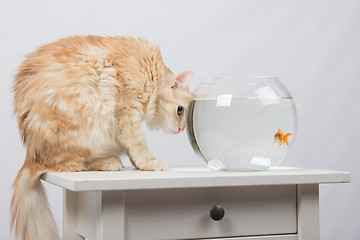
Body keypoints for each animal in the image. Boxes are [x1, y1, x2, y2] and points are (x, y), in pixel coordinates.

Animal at [9, 35, 194, 240]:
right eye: (180, 110)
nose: (181, 129)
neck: (150, 72)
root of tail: (31, 157)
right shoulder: (127, 111)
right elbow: (138, 142)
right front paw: (149, 162)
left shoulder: (124, 121)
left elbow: (131, 147)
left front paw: (138, 164)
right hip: (88, 122)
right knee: (76, 165)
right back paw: (109, 163)